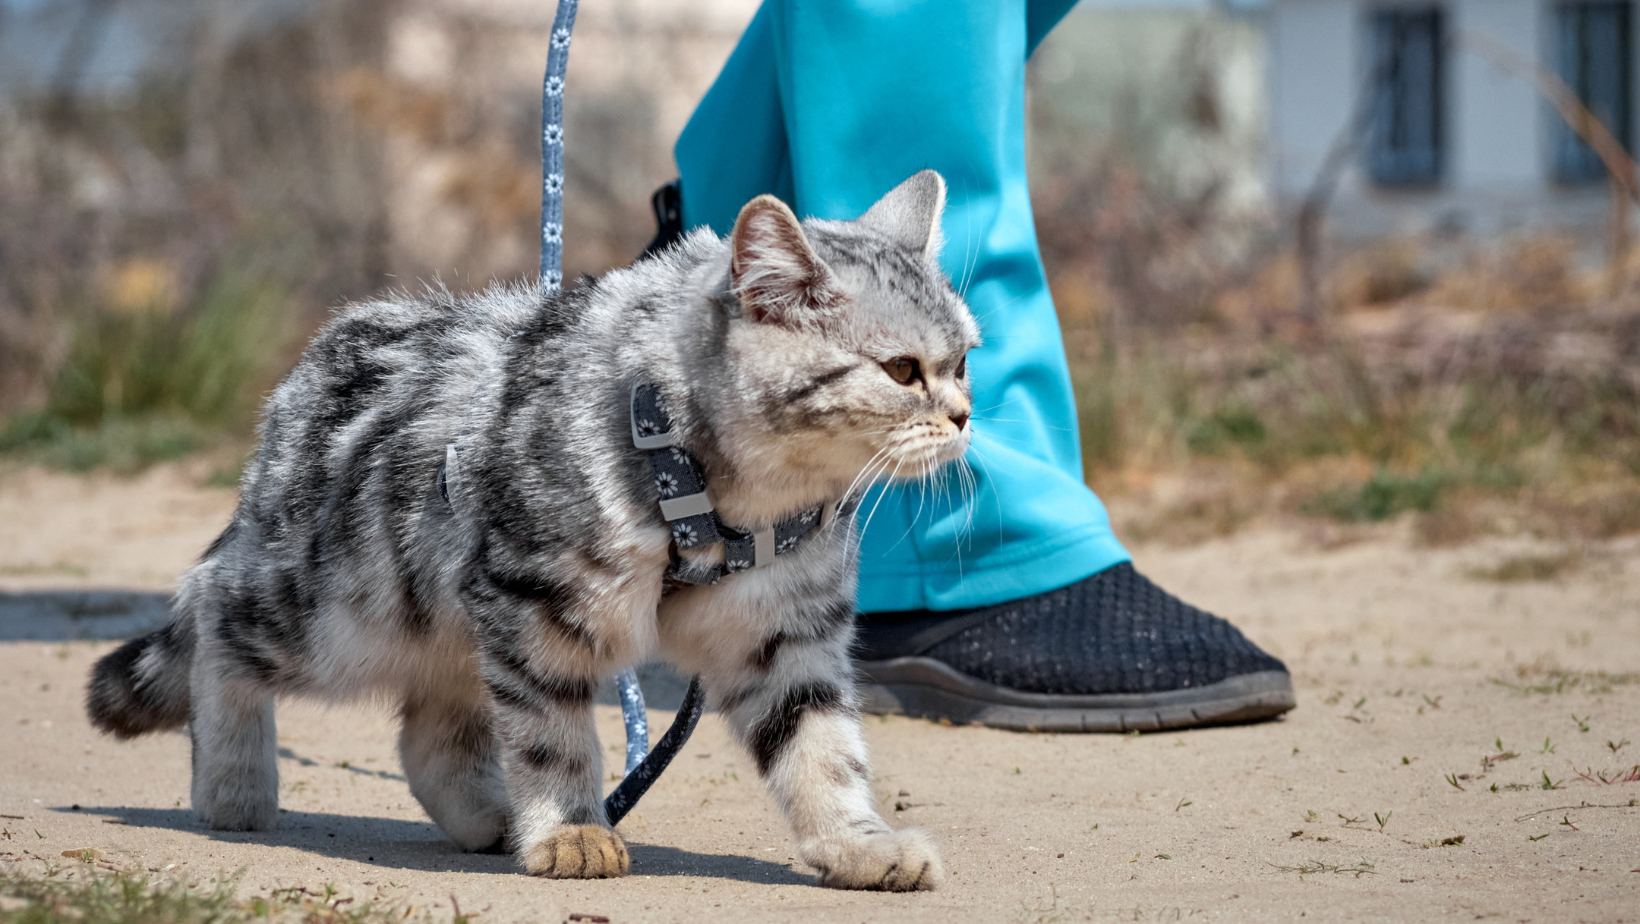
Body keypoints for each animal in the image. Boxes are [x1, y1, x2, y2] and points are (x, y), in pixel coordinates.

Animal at [86, 169, 970, 892]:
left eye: (964, 359)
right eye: (902, 371)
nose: (965, 416)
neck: (728, 499)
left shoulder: (785, 633)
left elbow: (822, 749)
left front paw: (858, 844)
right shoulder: (535, 603)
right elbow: (553, 736)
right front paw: (572, 830)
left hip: (440, 617)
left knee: (432, 734)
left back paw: (490, 818)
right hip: (337, 614)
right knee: (214, 612)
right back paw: (233, 783)